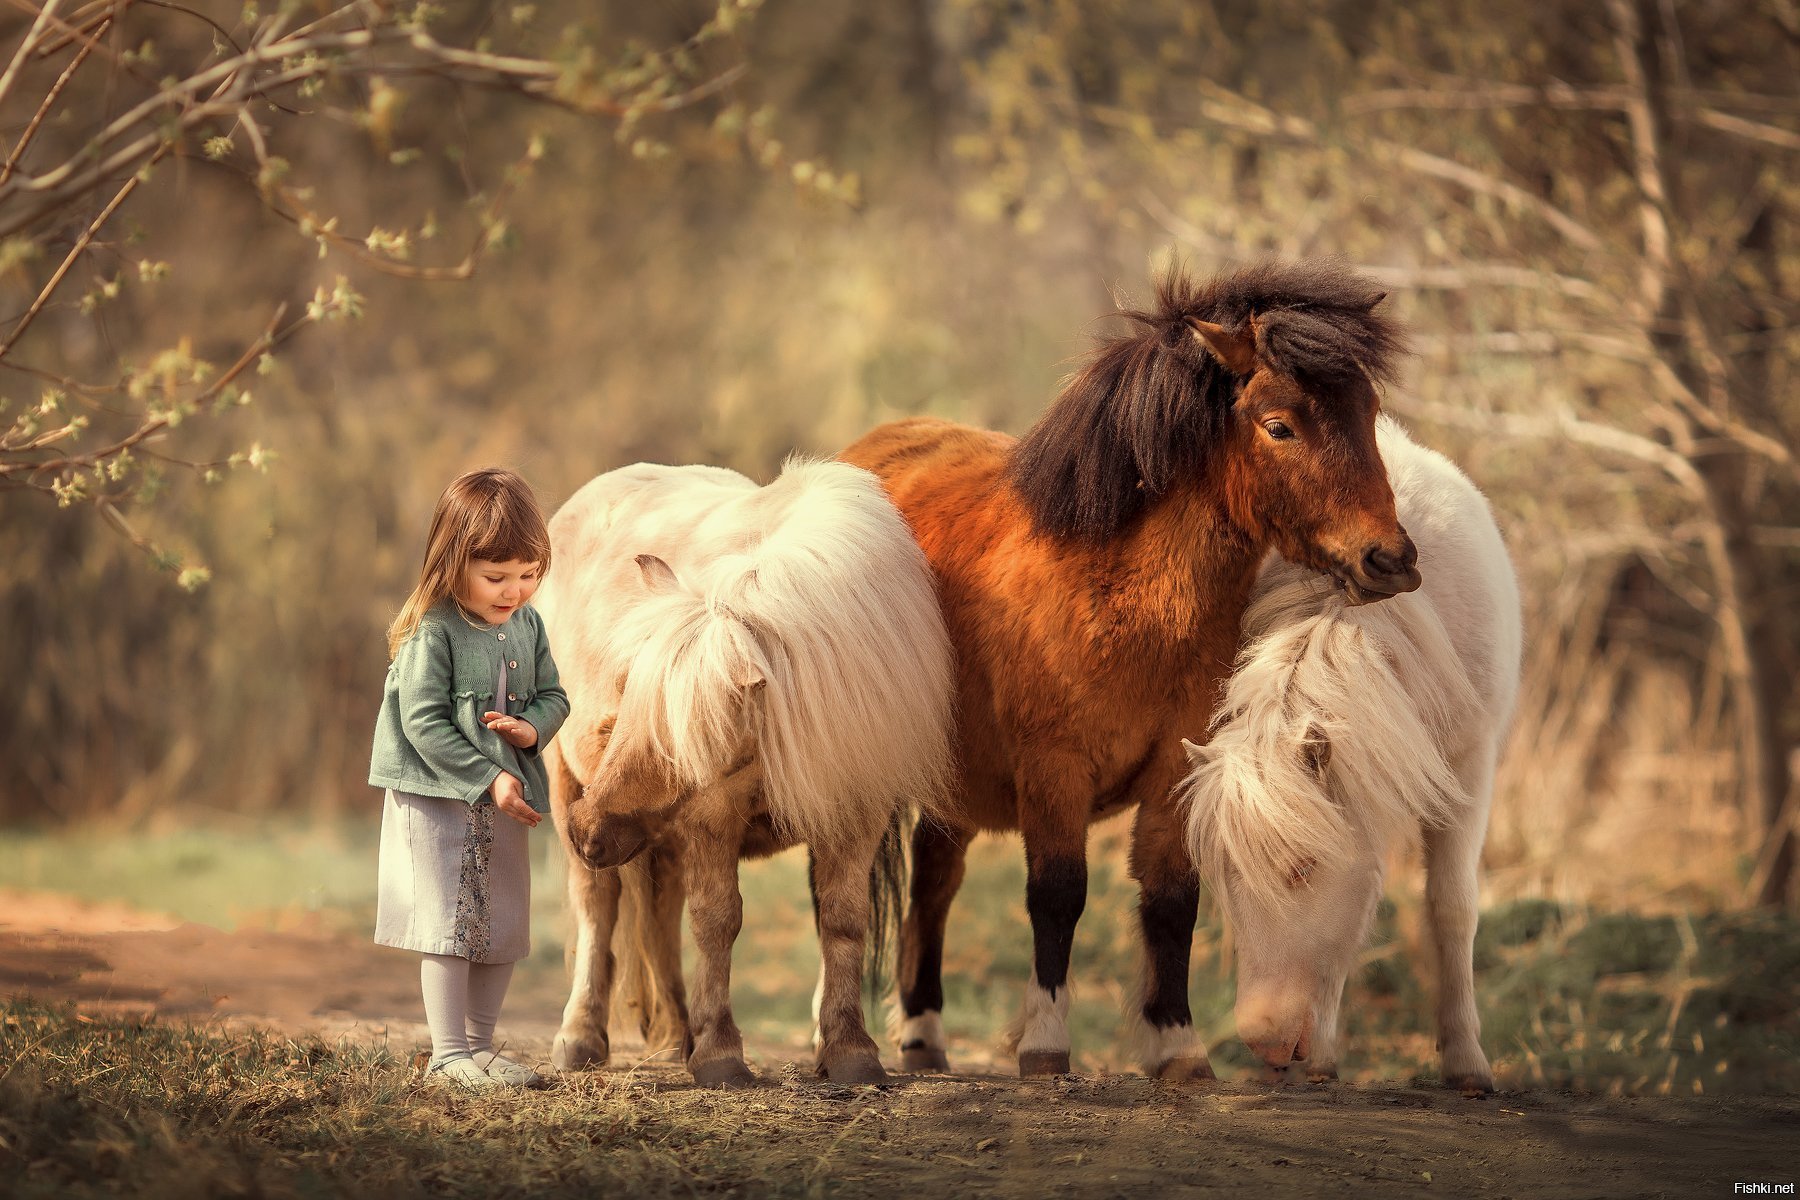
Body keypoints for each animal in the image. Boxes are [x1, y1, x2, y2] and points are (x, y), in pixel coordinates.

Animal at [532, 456, 957, 1086]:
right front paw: (721, 1054)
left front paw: (849, 1049)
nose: (589, 830)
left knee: (660, 911)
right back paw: (582, 1035)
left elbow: (843, 919)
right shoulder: (711, 816)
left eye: (680, 733)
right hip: (573, 787)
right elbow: (717, 921)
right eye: (628, 698)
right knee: (597, 907)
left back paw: (678, 1033)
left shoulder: (855, 810)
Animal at [842, 260, 1418, 1079]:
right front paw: (1047, 1044)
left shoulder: (1175, 767)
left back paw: (923, 1035)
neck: (1115, 585)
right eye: (1280, 425)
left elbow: (1172, 899)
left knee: (933, 877)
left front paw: (1178, 1046)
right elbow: (1058, 894)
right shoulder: (1055, 768)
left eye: (1367, 411)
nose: (1391, 559)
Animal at [1180, 417, 1519, 1093]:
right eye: (1225, 879)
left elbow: (1452, 907)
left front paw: (1467, 1062)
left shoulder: (1470, 765)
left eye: (1304, 867)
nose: (1265, 1043)